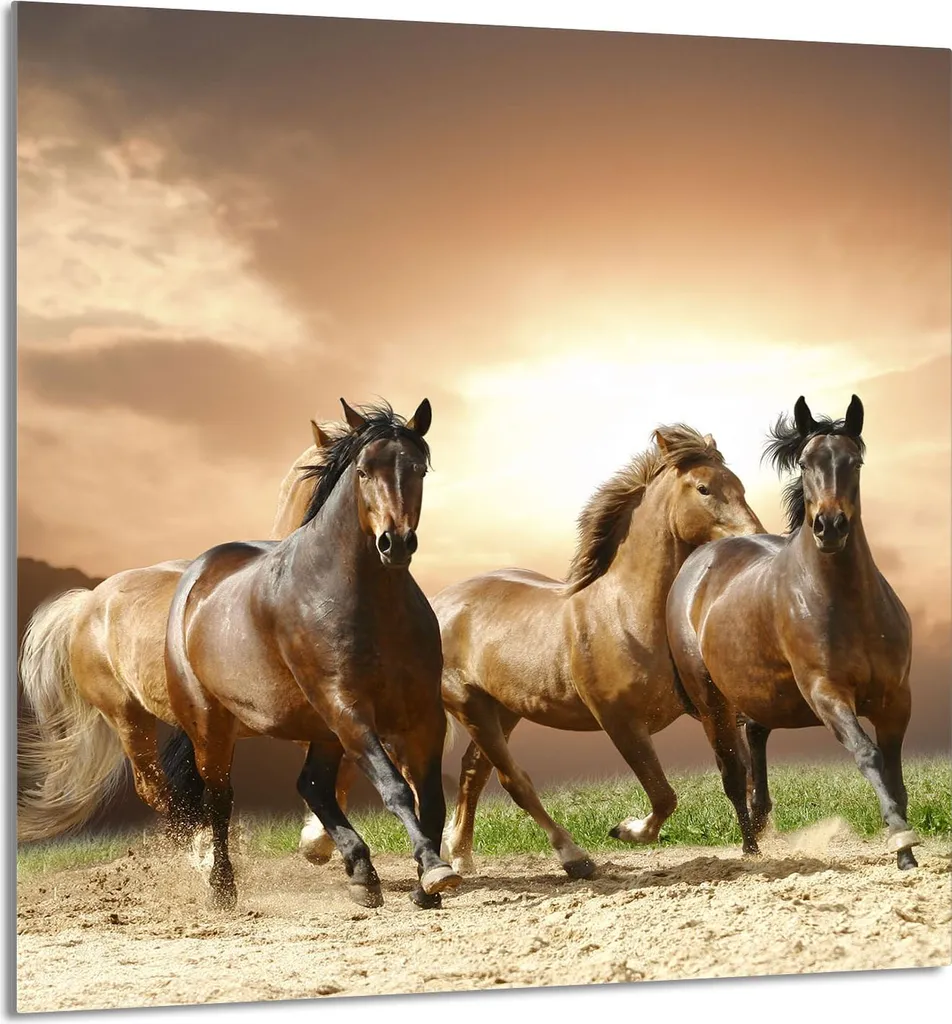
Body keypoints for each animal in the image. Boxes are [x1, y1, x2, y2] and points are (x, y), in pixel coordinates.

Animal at [164, 399, 462, 911]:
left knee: (313, 785)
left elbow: (431, 797)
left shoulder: (423, 714)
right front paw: (435, 869)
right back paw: (223, 890)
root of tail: (196, 577)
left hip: (321, 729)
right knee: (219, 800)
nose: (395, 543)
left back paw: (361, 874)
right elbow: (396, 789)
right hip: (213, 727)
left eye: (419, 469)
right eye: (363, 471)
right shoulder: (348, 708)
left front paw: (427, 883)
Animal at [665, 395, 920, 870]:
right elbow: (869, 755)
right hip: (712, 703)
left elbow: (895, 771)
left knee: (755, 738)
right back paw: (751, 848)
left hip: (761, 692)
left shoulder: (896, 699)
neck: (848, 605)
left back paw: (760, 818)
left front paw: (906, 851)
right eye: (804, 462)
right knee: (733, 772)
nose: (829, 526)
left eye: (855, 461)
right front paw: (901, 840)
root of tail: (699, 560)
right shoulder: (826, 692)